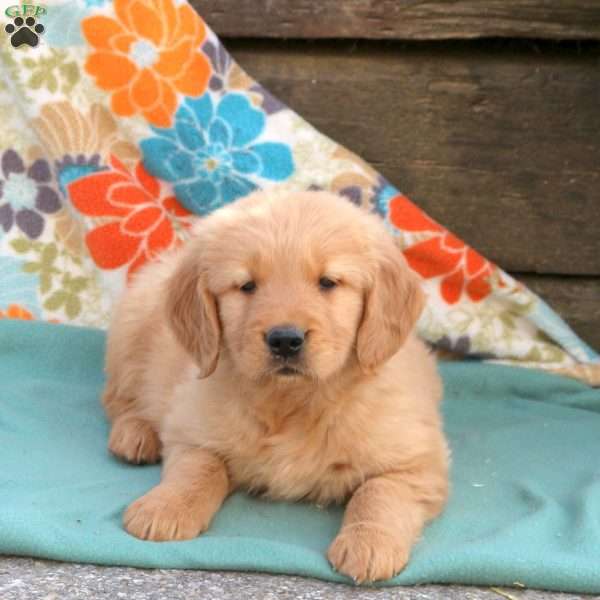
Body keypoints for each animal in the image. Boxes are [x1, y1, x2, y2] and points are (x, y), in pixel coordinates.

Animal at [103, 189, 448, 580]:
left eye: (327, 282)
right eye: (246, 285)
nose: (285, 340)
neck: (292, 403)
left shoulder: (418, 461)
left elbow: (378, 492)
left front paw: (369, 543)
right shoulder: (191, 427)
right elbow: (200, 468)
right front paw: (166, 507)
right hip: (131, 330)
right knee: (117, 397)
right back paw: (134, 433)